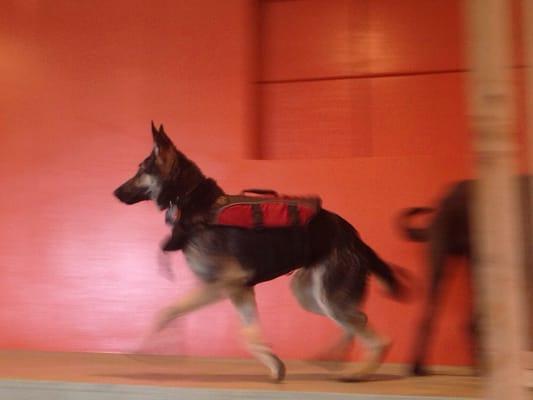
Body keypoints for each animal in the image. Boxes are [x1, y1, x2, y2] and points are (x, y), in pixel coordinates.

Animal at [112, 122, 404, 382]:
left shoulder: (223, 284)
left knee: (377, 336)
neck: (192, 199)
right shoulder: (239, 289)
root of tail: (353, 235)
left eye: (140, 171)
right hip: (310, 296)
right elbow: (250, 332)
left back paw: (358, 372)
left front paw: (146, 347)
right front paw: (273, 363)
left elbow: (170, 311)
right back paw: (337, 357)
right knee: (358, 319)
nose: (115, 193)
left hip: (327, 297)